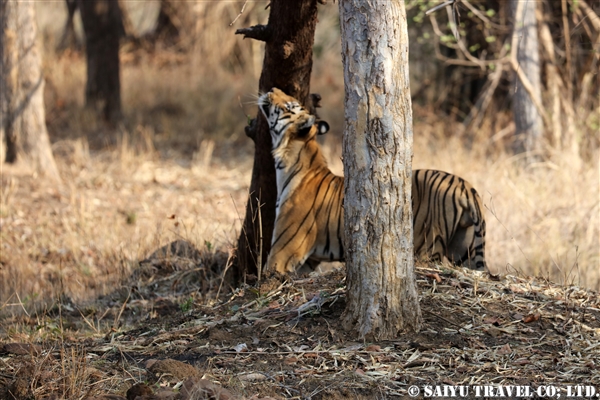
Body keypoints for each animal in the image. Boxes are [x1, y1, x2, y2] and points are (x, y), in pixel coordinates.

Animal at [258, 87, 488, 276]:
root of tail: (466, 187)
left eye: (289, 105)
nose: (272, 88)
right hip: (464, 248)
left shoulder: (283, 252)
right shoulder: (308, 261)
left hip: (429, 247)